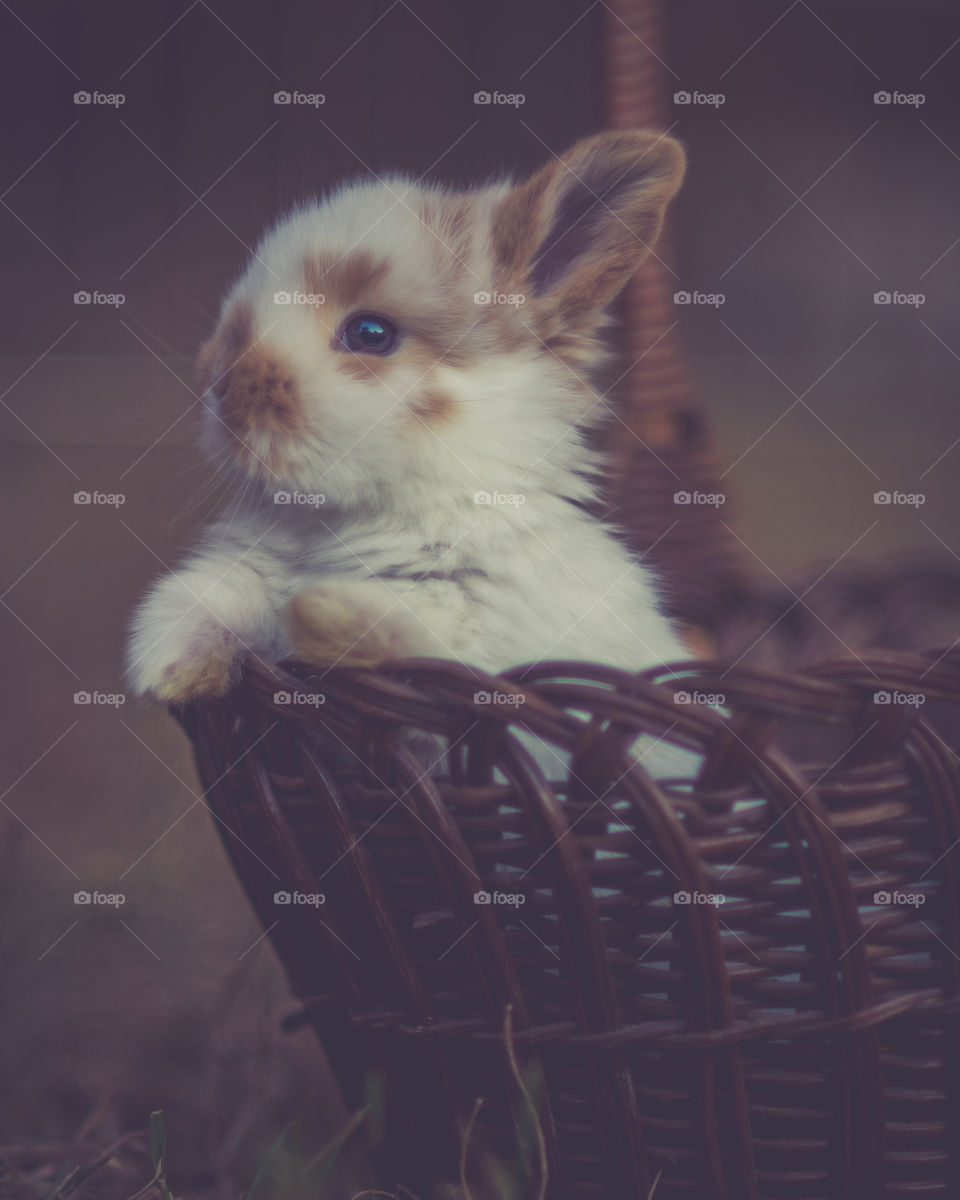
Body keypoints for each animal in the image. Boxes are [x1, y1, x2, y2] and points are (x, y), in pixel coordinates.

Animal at [126, 129, 693, 772]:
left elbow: (414, 635)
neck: (353, 516)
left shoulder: (481, 650)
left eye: (370, 334)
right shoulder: (248, 569)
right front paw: (167, 666)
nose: (217, 383)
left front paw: (315, 611)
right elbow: (215, 594)